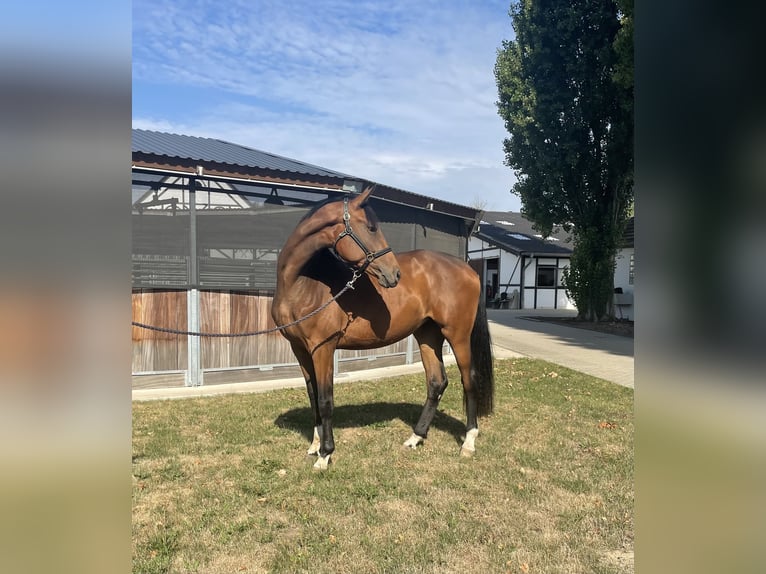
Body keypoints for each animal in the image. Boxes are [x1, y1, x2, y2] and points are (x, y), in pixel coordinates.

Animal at [271, 184, 494, 470]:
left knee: (469, 380)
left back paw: (468, 442)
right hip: (427, 335)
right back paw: (416, 437)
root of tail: (468, 269)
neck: (303, 284)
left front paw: (325, 454)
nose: (394, 274)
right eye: (371, 228)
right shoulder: (300, 349)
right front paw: (314, 445)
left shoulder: (323, 348)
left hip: (458, 335)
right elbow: (313, 396)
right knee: (437, 382)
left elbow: (325, 399)